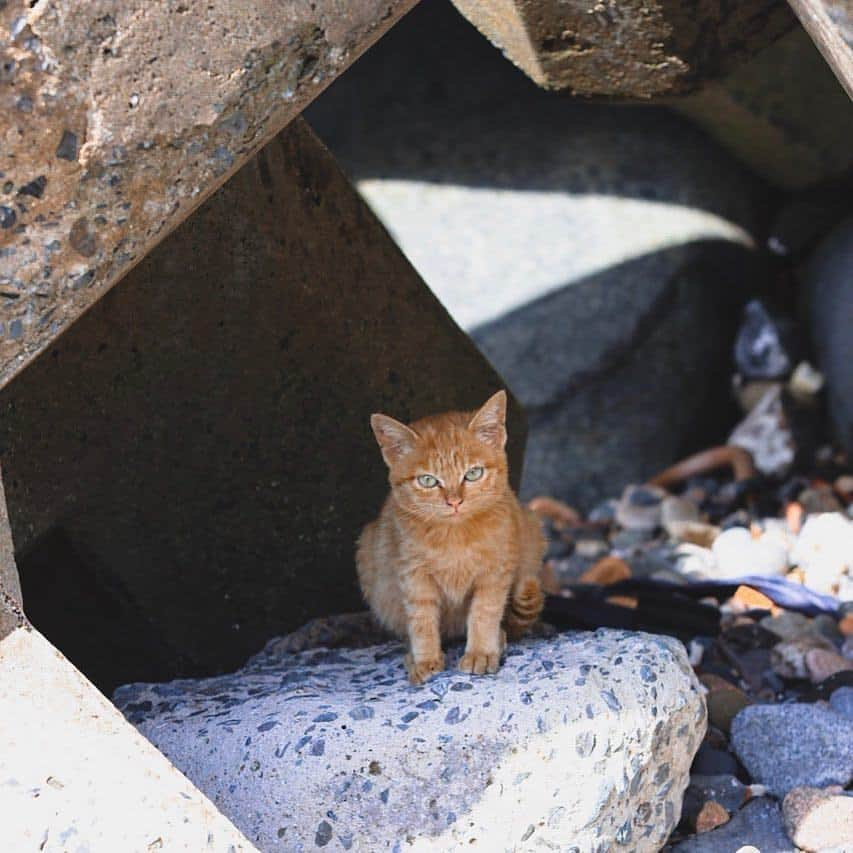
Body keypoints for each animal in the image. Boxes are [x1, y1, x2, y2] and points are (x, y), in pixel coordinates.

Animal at [354, 392, 544, 684]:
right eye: (428, 480)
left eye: (473, 473)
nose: (454, 501)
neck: (455, 537)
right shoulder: (413, 575)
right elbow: (421, 621)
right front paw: (425, 660)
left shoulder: (496, 571)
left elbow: (484, 612)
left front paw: (480, 653)